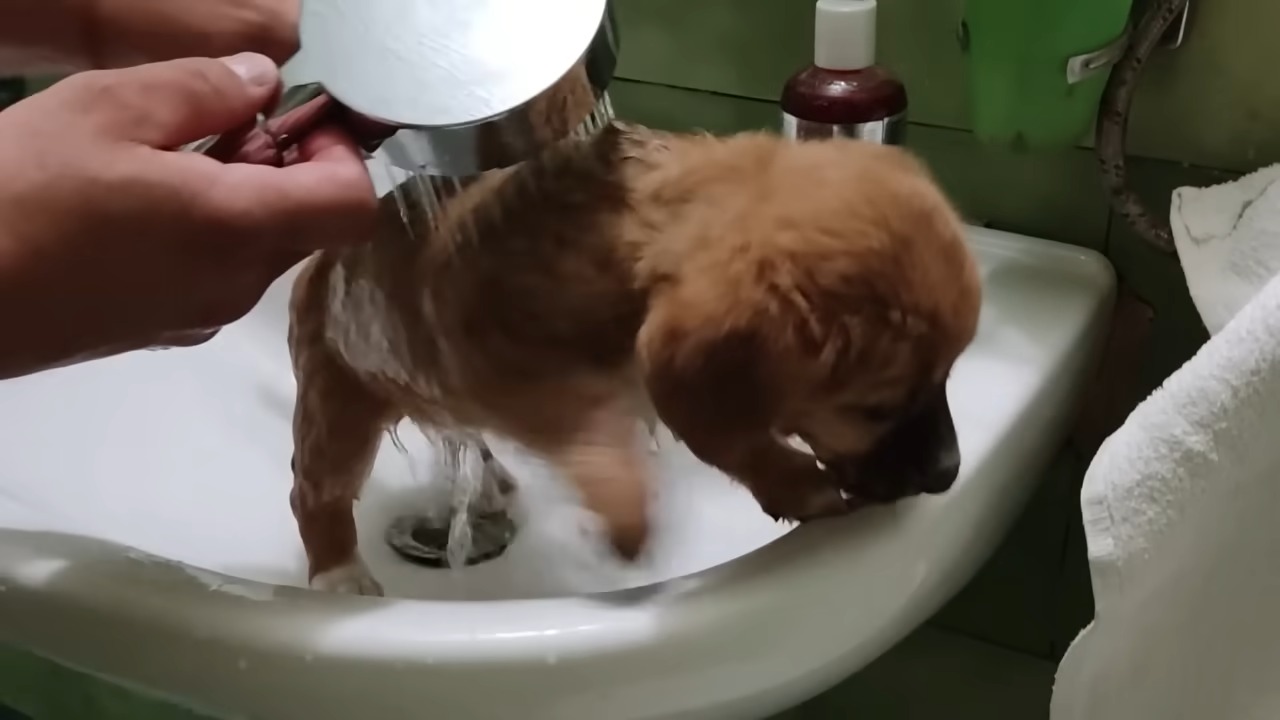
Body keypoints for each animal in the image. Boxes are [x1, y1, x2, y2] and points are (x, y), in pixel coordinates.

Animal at [285, 124, 972, 594]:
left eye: (946, 376)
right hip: (339, 402)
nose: (949, 474)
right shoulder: (518, 380)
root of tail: (319, 262)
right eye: (875, 409)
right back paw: (338, 573)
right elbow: (636, 440)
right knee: (313, 489)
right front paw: (789, 484)